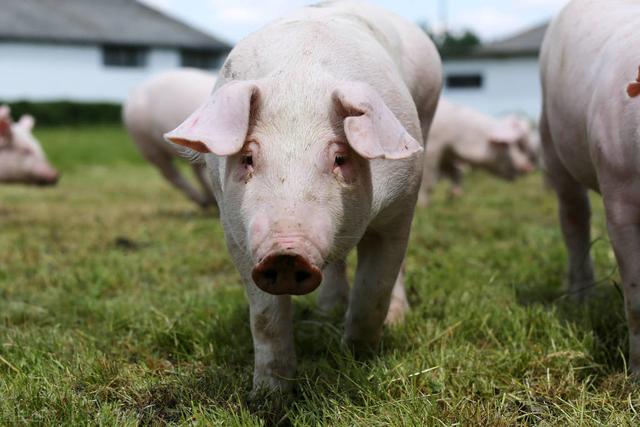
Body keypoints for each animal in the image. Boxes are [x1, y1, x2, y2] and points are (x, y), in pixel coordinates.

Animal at [164, 0, 440, 394]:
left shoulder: (399, 208)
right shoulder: (236, 233)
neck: (300, 81)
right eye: (247, 158)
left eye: (340, 158)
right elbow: (264, 318)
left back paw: (394, 319)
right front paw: (269, 395)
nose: (286, 253)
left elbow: (374, 290)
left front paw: (357, 359)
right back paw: (327, 312)